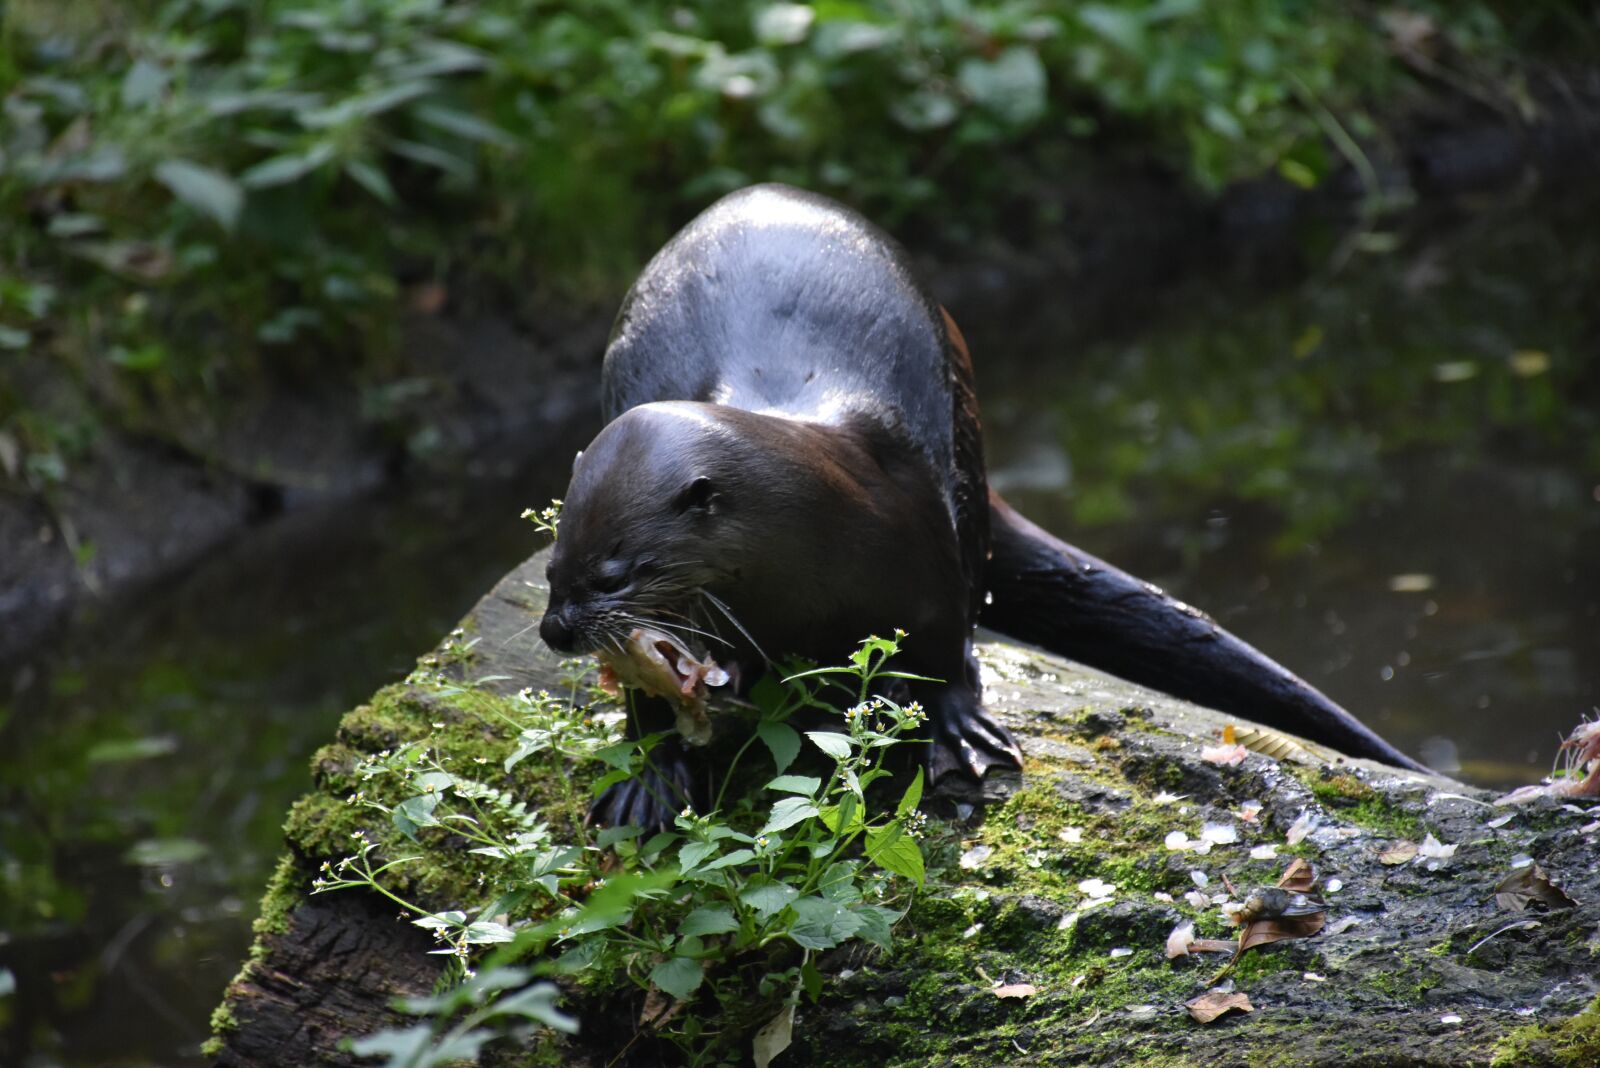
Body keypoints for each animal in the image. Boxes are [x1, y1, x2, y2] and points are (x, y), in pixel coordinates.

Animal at [540, 184, 1425, 827]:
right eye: (555, 570)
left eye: (617, 573)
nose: (555, 630)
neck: (818, 527)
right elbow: (652, 708)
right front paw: (654, 778)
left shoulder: (922, 553)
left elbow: (945, 646)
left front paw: (955, 733)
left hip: (963, 448)